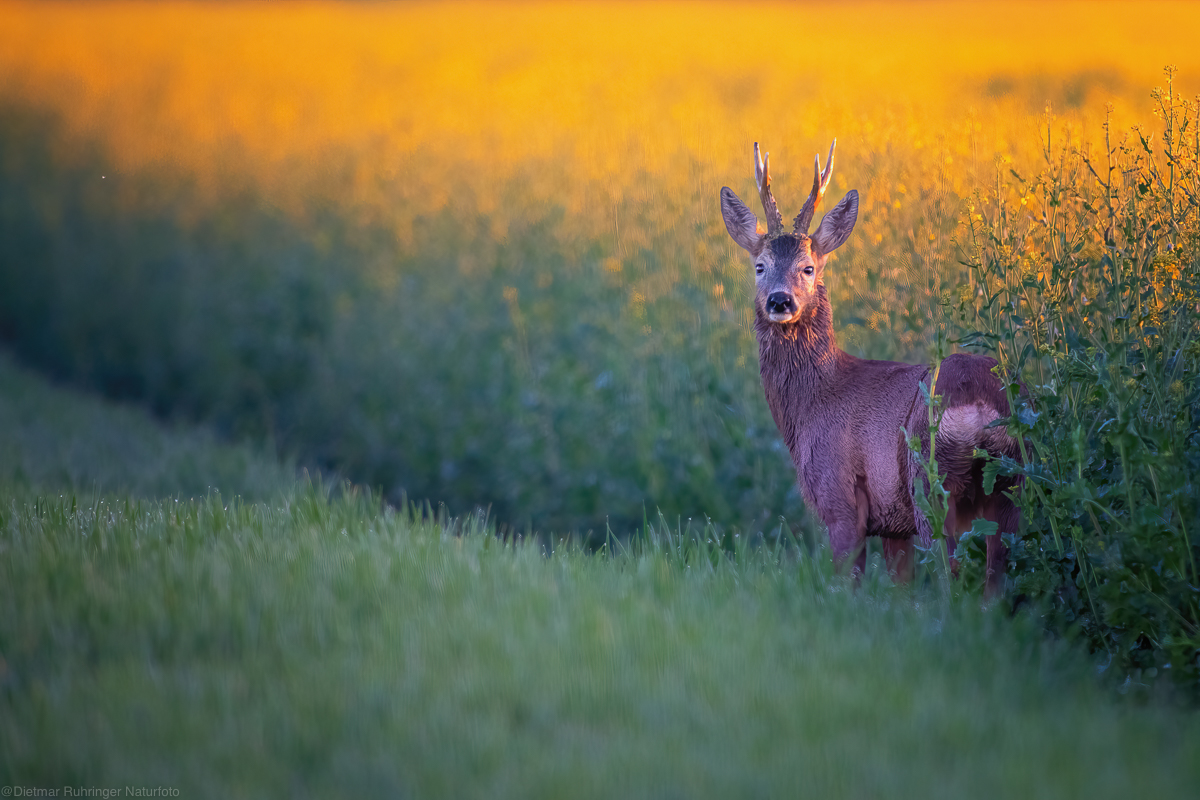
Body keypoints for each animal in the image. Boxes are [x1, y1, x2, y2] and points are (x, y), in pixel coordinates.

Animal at [715, 142, 1017, 594]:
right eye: (760, 266)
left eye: (809, 267)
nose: (780, 301)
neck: (816, 399)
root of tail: (979, 400)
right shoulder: (893, 524)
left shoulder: (838, 495)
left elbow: (848, 584)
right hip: (1013, 479)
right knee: (998, 578)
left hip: (929, 476)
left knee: (950, 570)